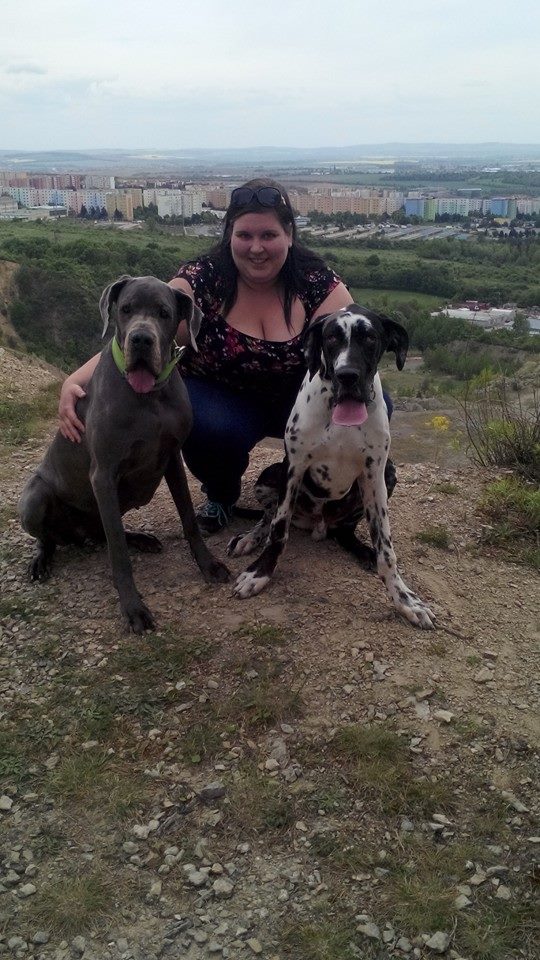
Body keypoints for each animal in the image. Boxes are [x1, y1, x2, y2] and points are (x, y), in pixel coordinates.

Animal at [19, 275, 230, 633]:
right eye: (126, 309)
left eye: (164, 313)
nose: (141, 339)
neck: (149, 398)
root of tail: (79, 537)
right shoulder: (103, 475)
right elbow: (118, 553)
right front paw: (133, 607)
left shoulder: (172, 458)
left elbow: (189, 518)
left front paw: (208, 565)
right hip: (34, 499)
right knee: (58, 537)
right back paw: (41, 560)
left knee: (105, 533)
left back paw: (141, 539)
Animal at [228, 304, 435, 629]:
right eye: (331, 338)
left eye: (370, 337)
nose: (347, 376)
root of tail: (317, 524)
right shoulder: (294, 468)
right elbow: (278, 530)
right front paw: (259, 573)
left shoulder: (375, 476)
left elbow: (386, 550)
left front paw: (404, 599)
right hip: (269, 475)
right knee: (267, 516)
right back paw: (249, 538)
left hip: (387, 476)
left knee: (344, 532)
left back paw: (362, 550)